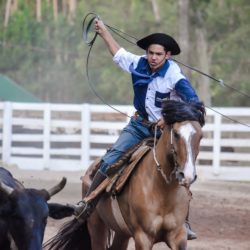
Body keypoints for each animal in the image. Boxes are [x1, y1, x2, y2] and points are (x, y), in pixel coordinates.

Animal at [44, 99, 206, 250]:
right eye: (176, 134)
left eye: (200, 136)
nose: (188, 175)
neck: (163, 189)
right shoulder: (143, 237)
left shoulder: (178, 235)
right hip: (96, 226)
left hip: (122, 233)